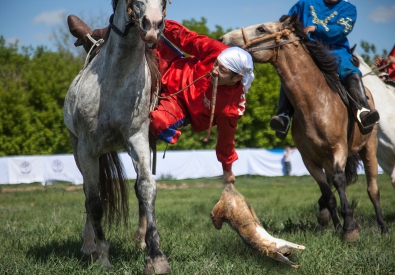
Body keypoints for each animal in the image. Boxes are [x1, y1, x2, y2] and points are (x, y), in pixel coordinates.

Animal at [63, 1, 170, 274]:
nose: (152, 24)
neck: (115, 82)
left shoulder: (138, 138)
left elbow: (145, 188)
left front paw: (156, 257)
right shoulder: (87, 150)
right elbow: (94, 202)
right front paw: (102, 256)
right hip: (78, 150)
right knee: (88, 193)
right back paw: (89, 245)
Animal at [220, 14, 390, 242]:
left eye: (262, 29)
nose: (223, 39)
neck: (315, 104)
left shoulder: (339, 149)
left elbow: (340, 181)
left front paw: (350, 229)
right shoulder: (309, 159)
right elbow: (328, 193)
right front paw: (338, 228)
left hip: (368, 149)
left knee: (373, 189)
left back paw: (383, 226)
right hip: (327, 160)